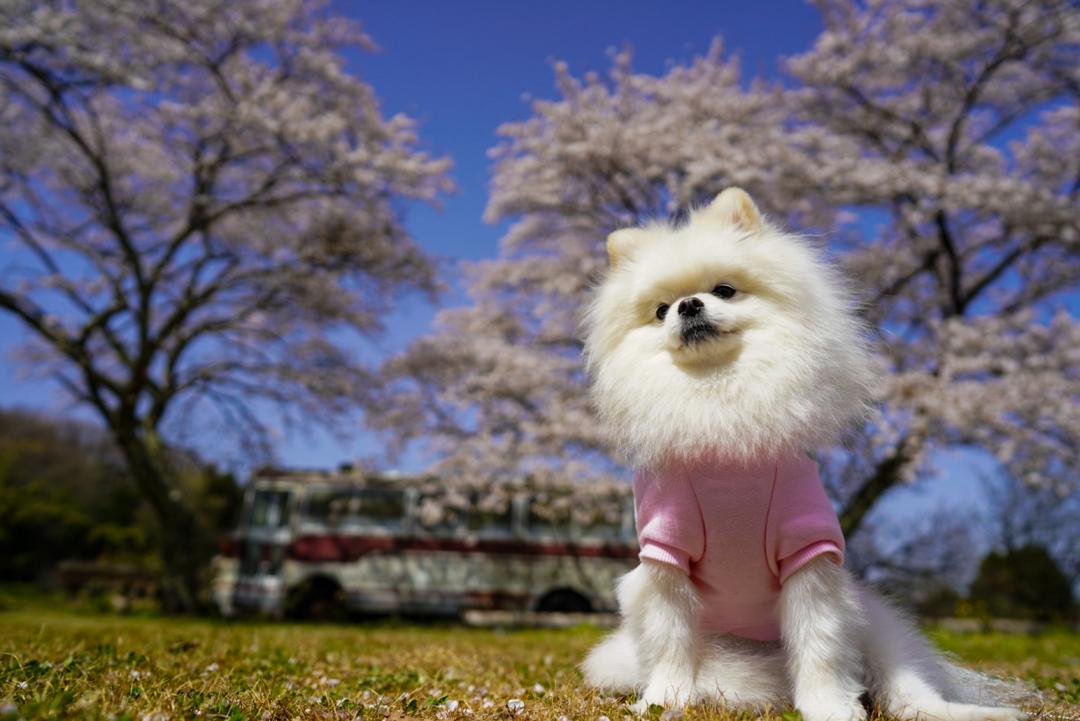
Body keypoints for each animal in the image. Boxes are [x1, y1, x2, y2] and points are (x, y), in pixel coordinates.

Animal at [578, 188, 1023, 721]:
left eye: (724, 290)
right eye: (661, 310)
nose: (688, 304)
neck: (719, 402)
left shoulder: (807, 552)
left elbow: (820, 646)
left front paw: (829, 707)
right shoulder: (666, 558)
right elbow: (671, 642)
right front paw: (665, 699)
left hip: (877, 626)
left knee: (906, 691)